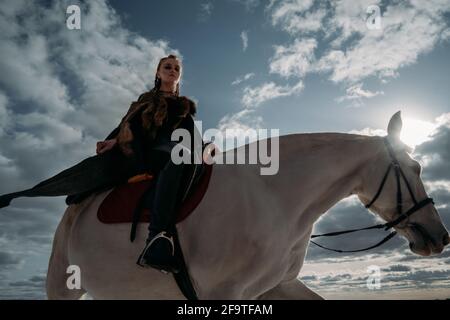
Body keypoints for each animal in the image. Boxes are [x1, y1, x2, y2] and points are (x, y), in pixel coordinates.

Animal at [47, 112, 448, 300]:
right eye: (416, 168)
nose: (441, 237)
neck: (275, 196)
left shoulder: (276, 286)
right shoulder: (222, 291)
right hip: (63, 285)